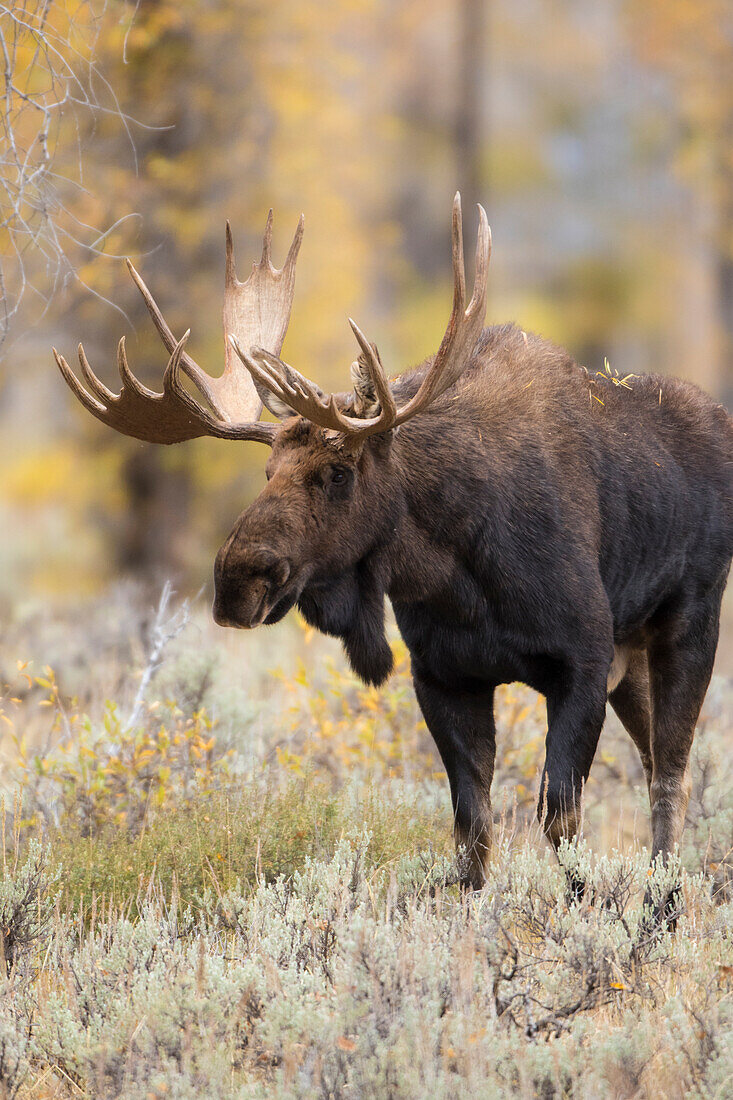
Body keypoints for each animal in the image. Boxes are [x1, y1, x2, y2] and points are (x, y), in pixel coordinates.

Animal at [54, 195, 726, 910]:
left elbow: (560, 819)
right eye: (267, 471)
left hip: (690, 620)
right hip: (633, 659)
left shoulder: (583, 659)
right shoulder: (443, 675)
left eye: (339, 471)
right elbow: (471, 829)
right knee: (658, 760)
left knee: (671, 772)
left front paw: (588, 910)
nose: (238, 579)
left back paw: (666, 900)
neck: (459, 575)